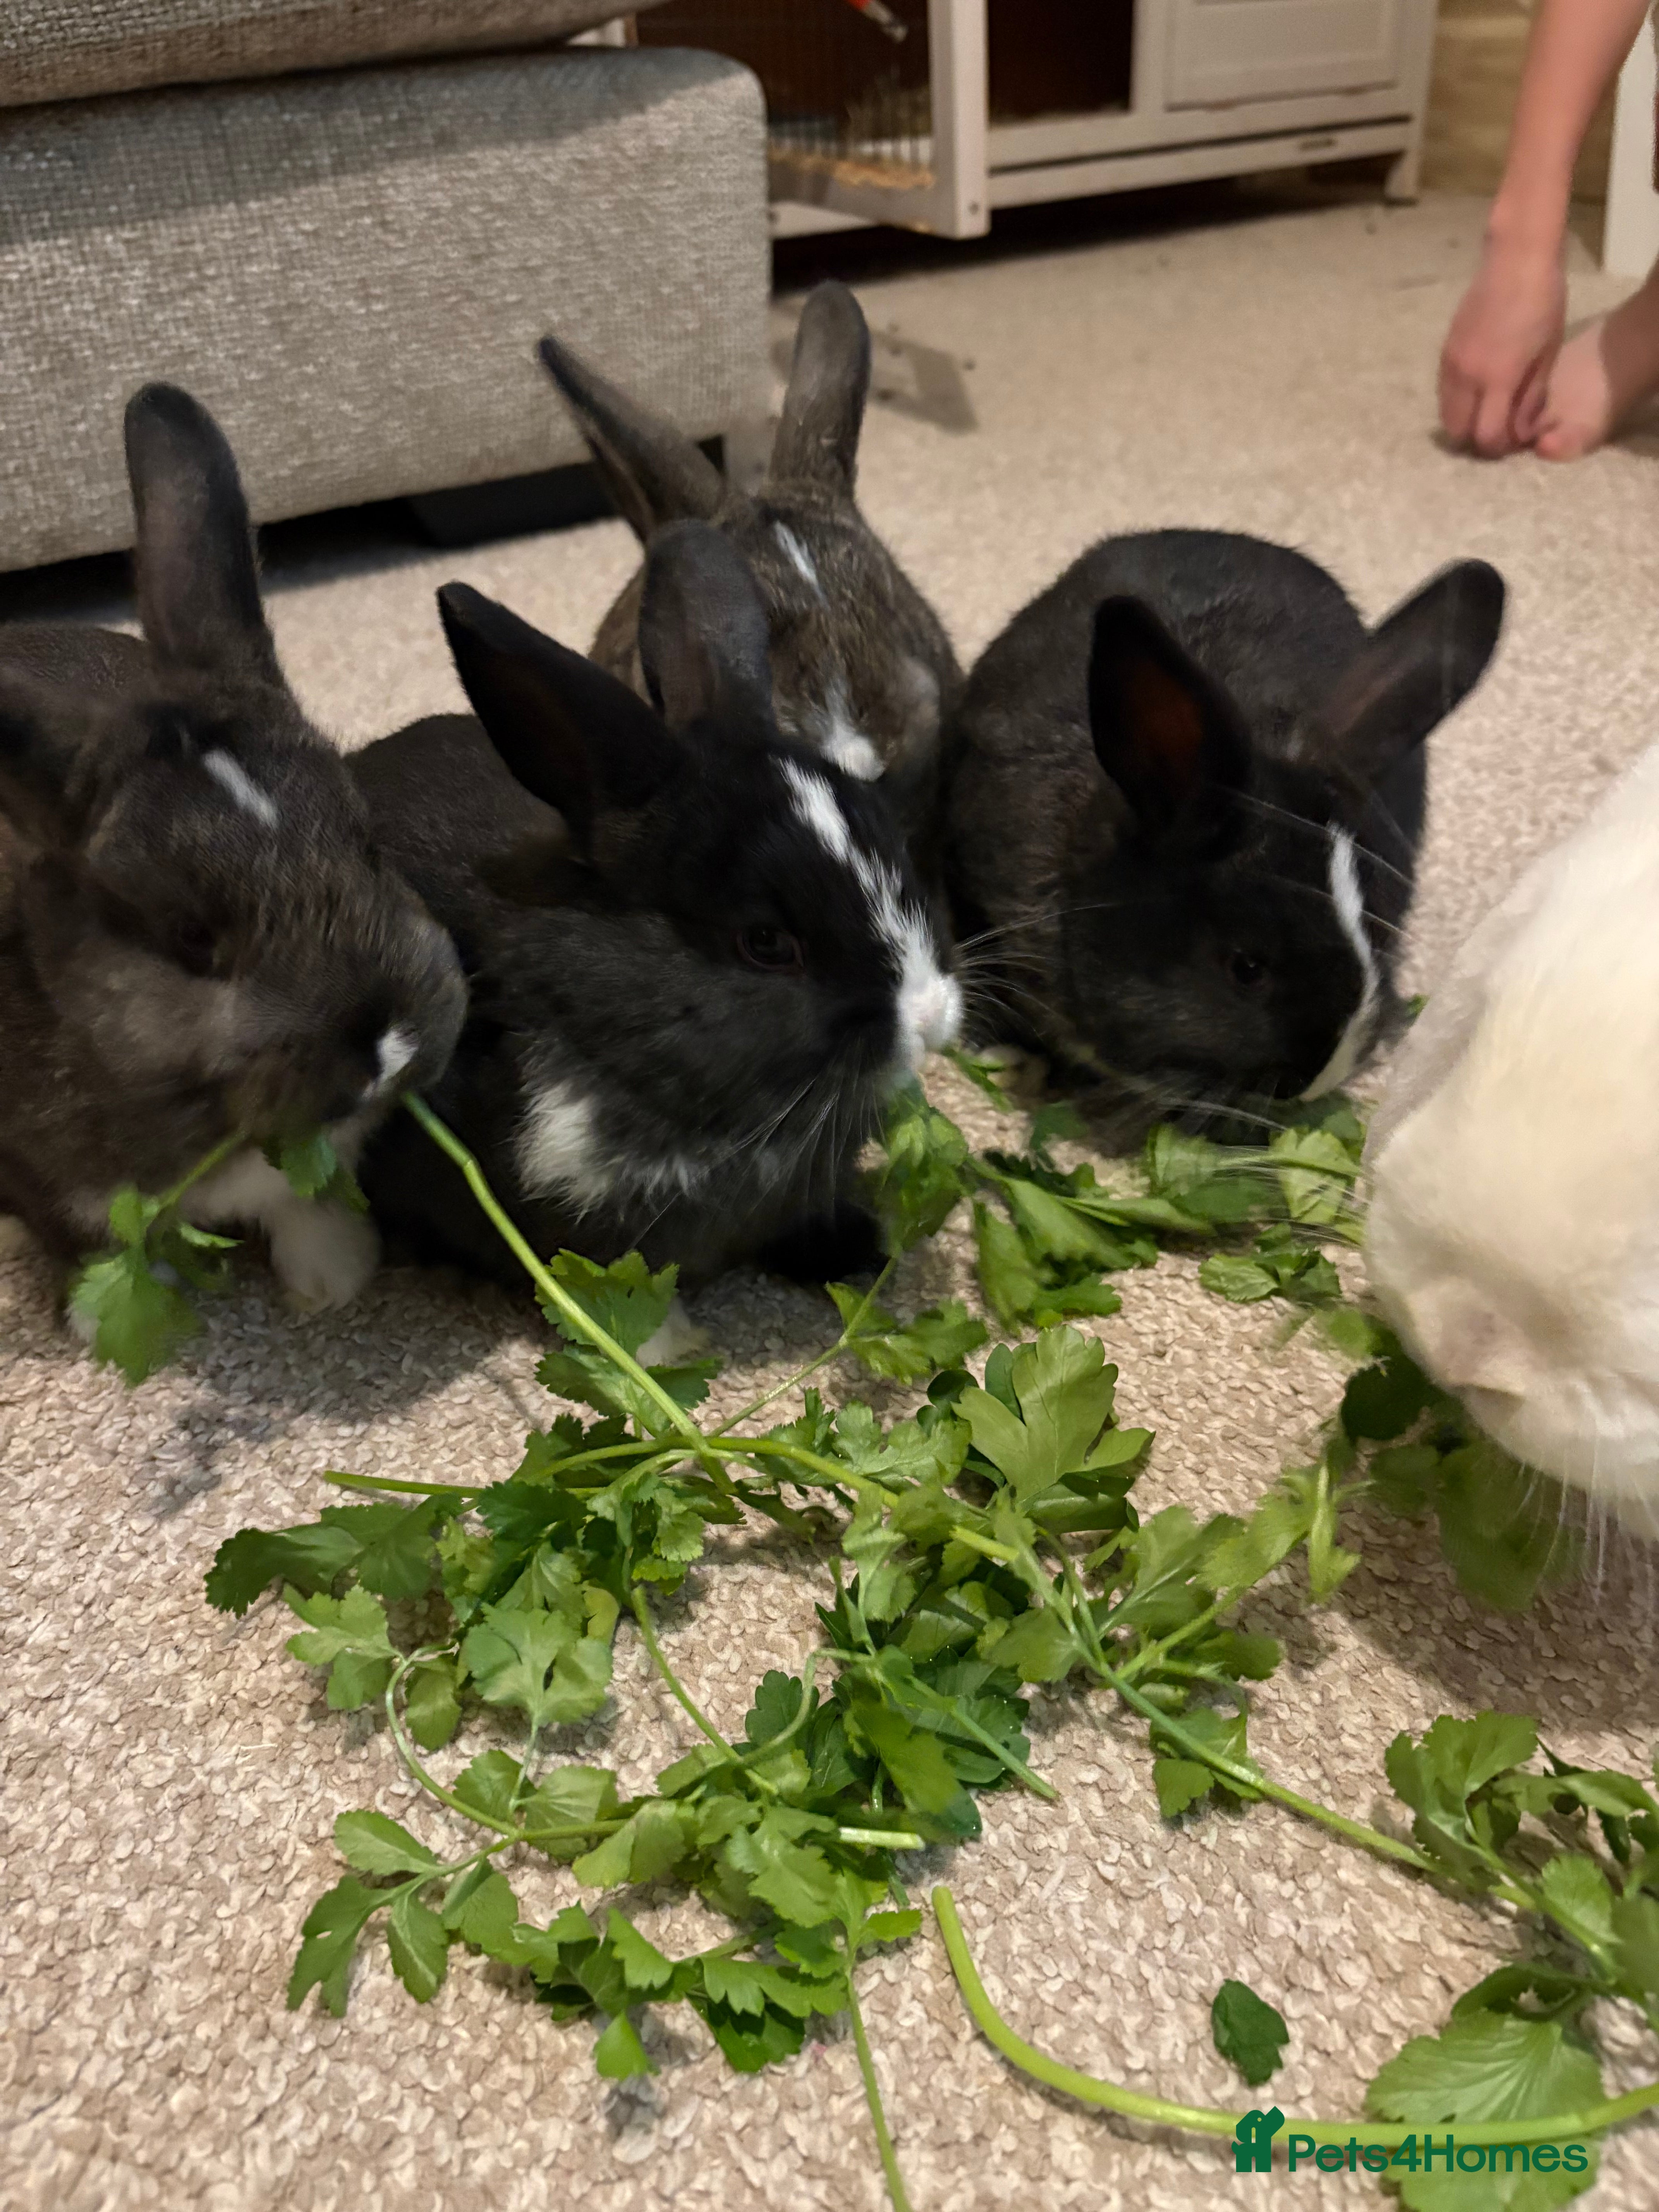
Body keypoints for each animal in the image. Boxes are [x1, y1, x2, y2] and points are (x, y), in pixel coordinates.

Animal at [0, 383, 466, 1311]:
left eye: (368, 844)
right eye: (190, 935)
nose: (388, 1048)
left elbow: (302, 1198)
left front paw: (334, 1279)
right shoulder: (43, 1180)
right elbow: (83, 1240)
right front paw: (115, 1311)